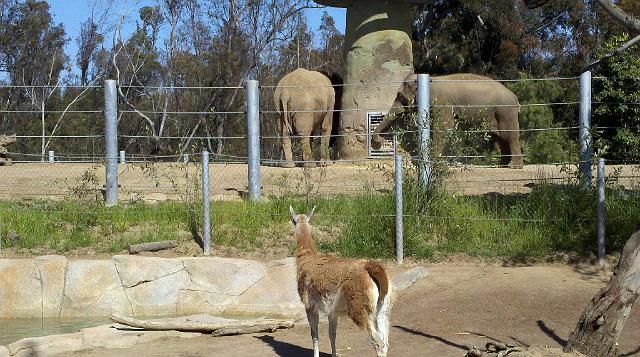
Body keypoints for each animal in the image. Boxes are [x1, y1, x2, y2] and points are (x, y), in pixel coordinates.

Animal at [370, 73, 524, 169]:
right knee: (500, 137)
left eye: (400, 96)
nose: (378, 142)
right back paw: (502, 165)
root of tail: (515, 98)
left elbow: (444, 127)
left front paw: (434, 162)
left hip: (505, 112)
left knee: (509, 136)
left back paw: (514, 166)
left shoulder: (442, 103)